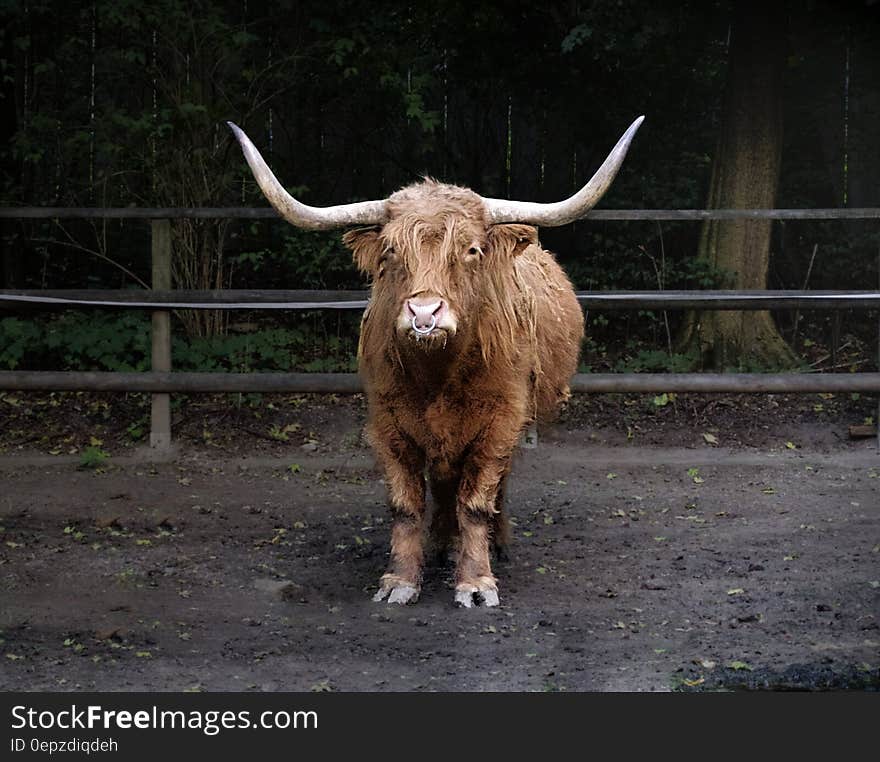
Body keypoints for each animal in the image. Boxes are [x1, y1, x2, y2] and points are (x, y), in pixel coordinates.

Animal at [229, 117, 640, 604]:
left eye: (471, 250)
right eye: (391, 251)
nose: (425, 314)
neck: (438, 376)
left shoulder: (500, 422)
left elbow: (477, 502)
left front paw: (476, 582)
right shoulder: (387, 424)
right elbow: (406, 504)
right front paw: (401, 579)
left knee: (492, 487)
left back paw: (497, 544)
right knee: (444, 487)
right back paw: (442, 547)